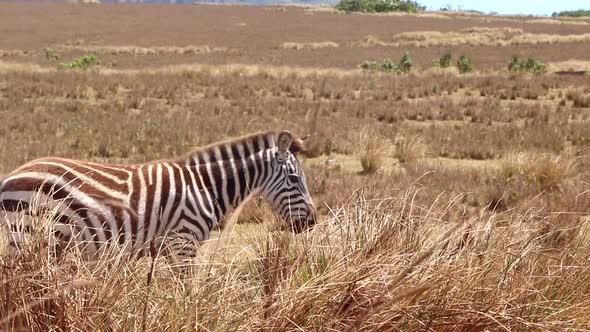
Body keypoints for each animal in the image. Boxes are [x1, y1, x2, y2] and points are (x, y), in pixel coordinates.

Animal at [0, 131, 320, 258]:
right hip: (27, 235)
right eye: (294, 179)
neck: (204, 186)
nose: (312, 223)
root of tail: (11, 176)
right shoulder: (183, 243)